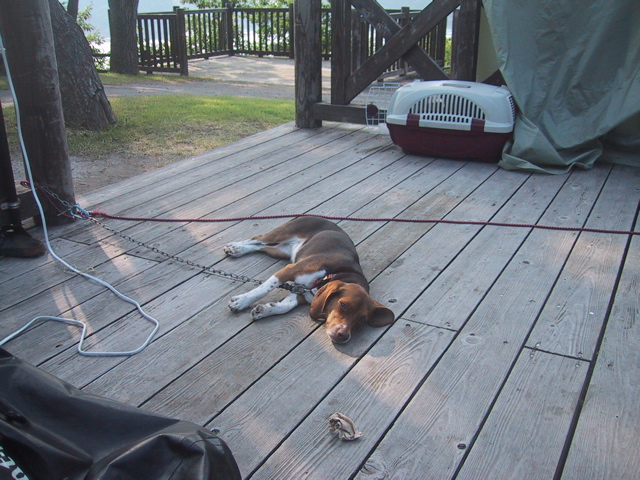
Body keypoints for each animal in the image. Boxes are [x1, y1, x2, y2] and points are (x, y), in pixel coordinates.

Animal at [225, 216, 396, 344]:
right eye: (343, 305)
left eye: (361, 320)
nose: (343, 336)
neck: (336, 274)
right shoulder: (289, 270)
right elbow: (263, 289)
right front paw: (242, 301)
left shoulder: (300, 294)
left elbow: (285, 306)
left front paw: (265, 310)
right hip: (281, 234)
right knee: (258, 238)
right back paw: (236, 247)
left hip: (279, 251)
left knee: (260, 246)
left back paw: (238, 249)